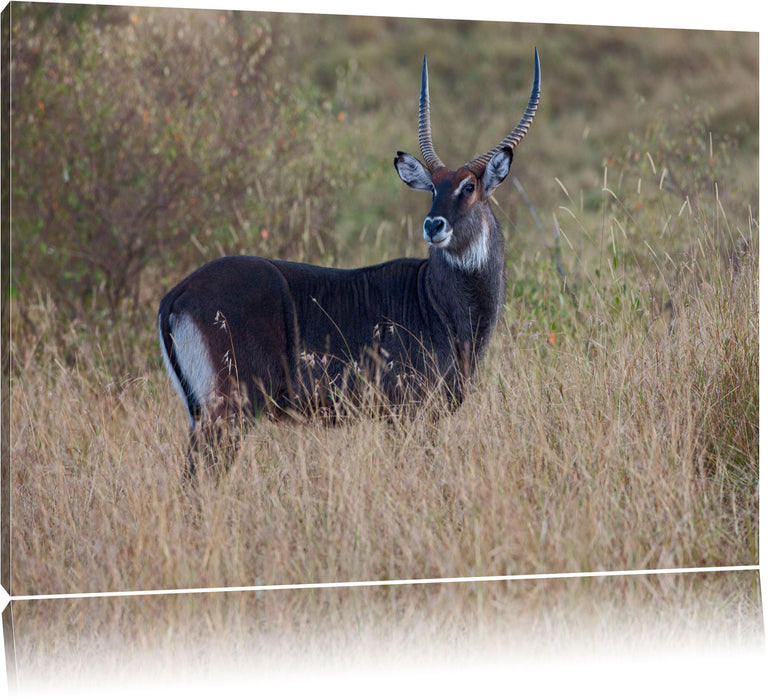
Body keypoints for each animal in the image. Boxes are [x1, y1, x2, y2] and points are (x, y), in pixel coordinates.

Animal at [159, 50, 540, 476]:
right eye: (433, 188)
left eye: (468, 187)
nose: (433, 224)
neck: (436, 302)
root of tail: (177, 294)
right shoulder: (408, 412)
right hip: (230, 409)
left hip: (203, 413)